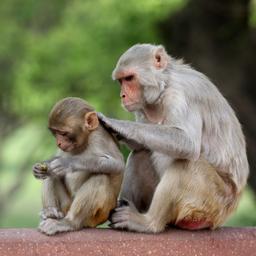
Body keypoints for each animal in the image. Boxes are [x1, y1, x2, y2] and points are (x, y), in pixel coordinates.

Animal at [32, 97, 124, 235]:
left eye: (63, 133)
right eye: (55, 133)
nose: (58, 143)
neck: (84, 141)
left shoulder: (99, 137)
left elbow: (118, 164)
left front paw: (67, 163)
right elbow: (52, 164)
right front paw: (39, 168)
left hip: (97, 215)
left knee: (100, 177)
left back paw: (70, 222)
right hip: (66, 205)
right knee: (51, 174)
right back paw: (50, 212)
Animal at [97, 43, 248, 232]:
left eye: (129, 78)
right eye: (121, 80)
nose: (122, 96)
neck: (164, 85)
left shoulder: (181, 94)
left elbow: (187, 143)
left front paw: (116, 124)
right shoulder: (142, 107)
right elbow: (141, 145)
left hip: (212, 202)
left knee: (187, 165)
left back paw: (148, 223)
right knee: (142, 153)